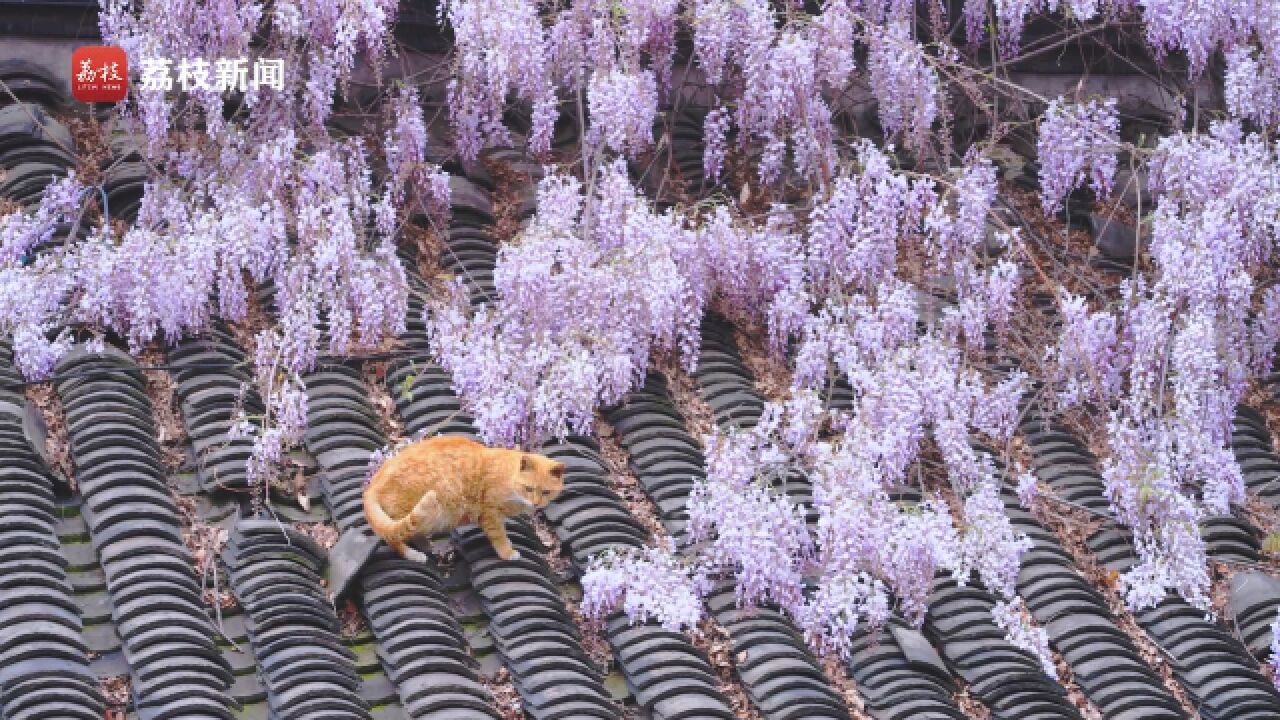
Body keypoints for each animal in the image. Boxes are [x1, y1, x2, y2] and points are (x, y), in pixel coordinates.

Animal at [360, 430, 560, 561]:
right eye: (528, 488)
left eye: (546, 492)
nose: (536, 503)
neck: (509, 477)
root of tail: (372, 486)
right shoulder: (490, 513)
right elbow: (499, 536)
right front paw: (507, 552)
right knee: (393, 538)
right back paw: (414, 555)